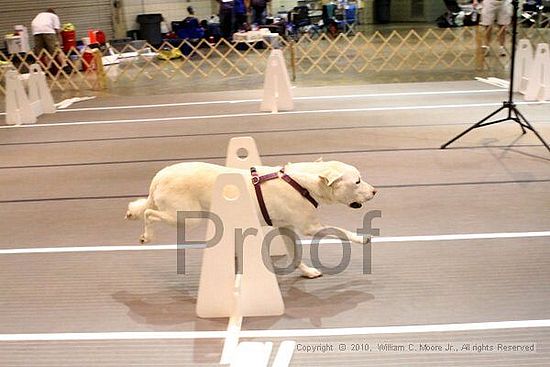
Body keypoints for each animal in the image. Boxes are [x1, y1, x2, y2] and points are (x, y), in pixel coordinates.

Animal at [125, 161, 378, 278]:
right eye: (357, 181)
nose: (375, 191)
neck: (302, 184)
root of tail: (159, 175)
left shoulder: (286, 228)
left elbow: (296, 254)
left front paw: (307, 272)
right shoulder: (311, 227)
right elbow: (340, 231)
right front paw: (361, 238)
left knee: (141, 208)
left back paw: (132, 214)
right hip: (187, 217)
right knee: (149, 214)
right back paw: (146, 236)